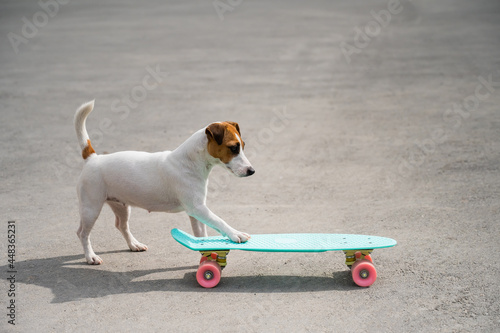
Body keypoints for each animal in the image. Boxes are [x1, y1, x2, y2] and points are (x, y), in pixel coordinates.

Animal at [74, 100, 254, 264]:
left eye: (243, 145)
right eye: (233, 148)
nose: (251, 171)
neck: (189, 162)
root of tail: (92, 158)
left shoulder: (196, 212)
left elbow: (202, 235)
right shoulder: (197, 208)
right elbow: (219, 220)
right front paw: (235, 233)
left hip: (121, 206)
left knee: (121, 225)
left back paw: (134, 244)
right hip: (91, 208)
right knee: (82, 233)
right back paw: (91, 256)